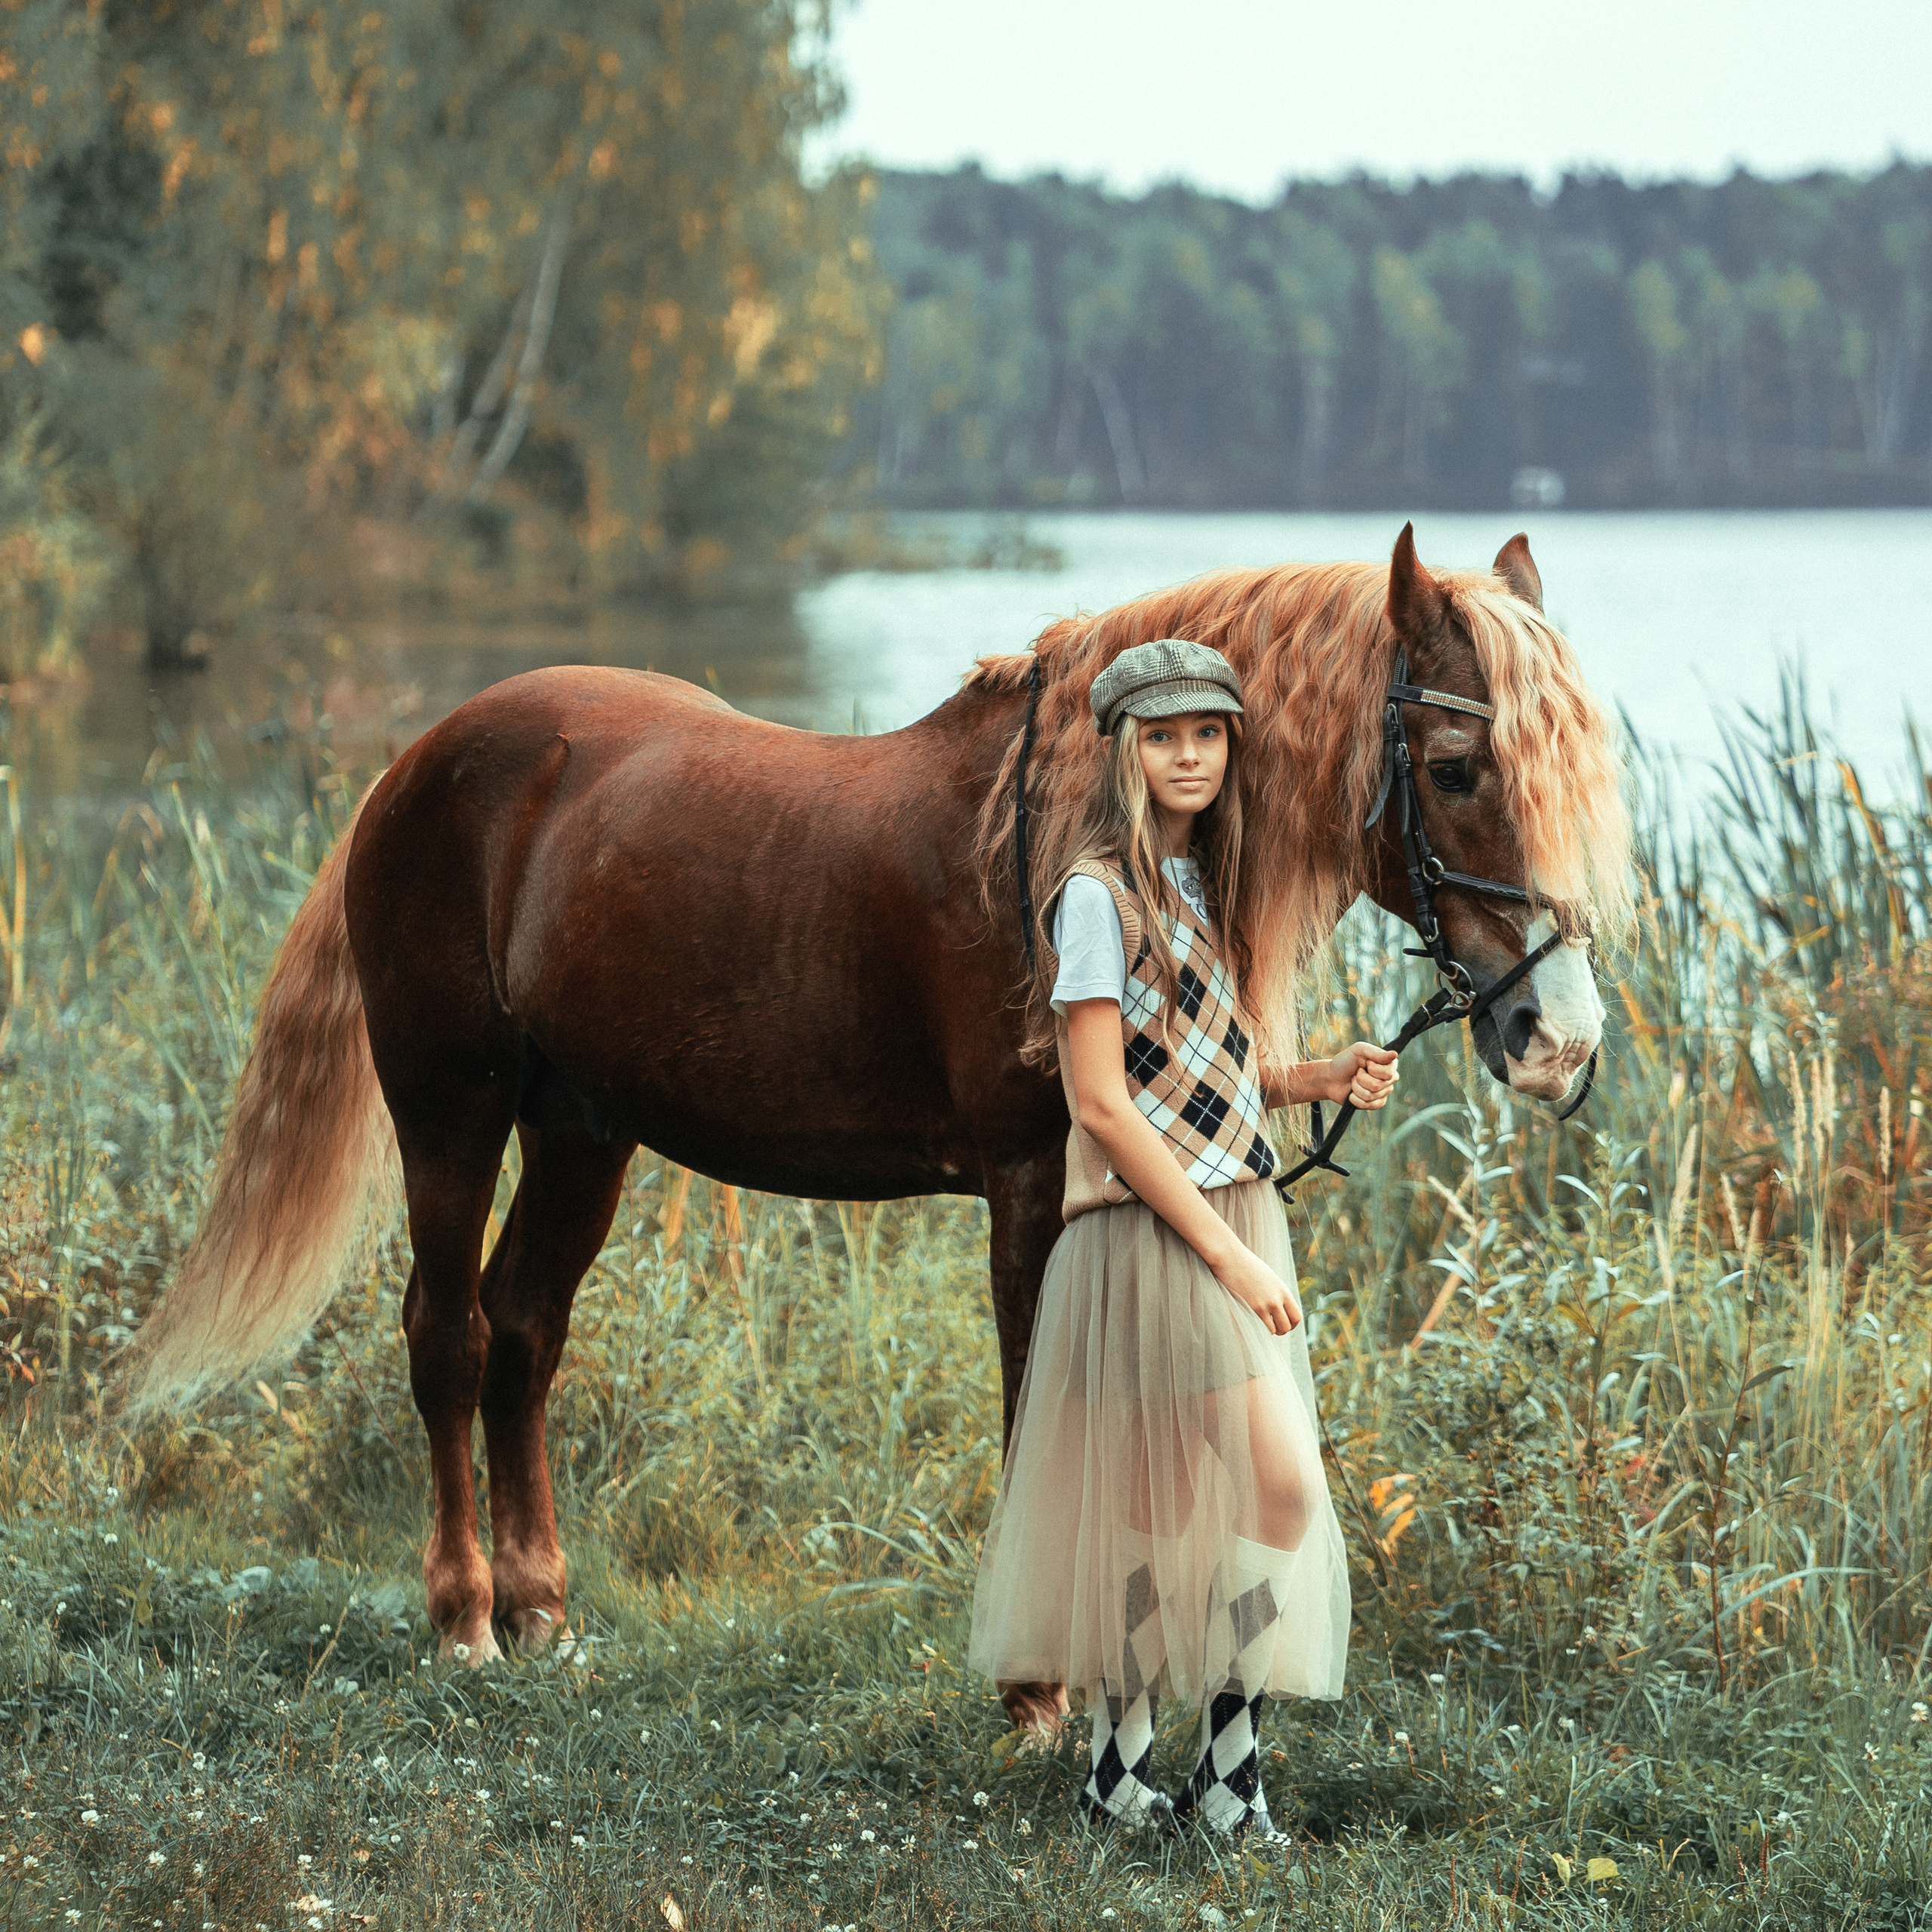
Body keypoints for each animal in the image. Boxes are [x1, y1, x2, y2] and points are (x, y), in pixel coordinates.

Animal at [129, 523, 1633, 1732]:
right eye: (1456, 769)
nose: (1556, 1039)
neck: (1047, 846)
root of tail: (420, 763)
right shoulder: (1034, 1188)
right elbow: (1041, 1413)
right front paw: (1040, 1694)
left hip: (581, 1132)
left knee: (523, 1335)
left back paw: (543, 1608)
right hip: (452, 1109)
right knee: (446, 1336)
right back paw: (465, 1624)